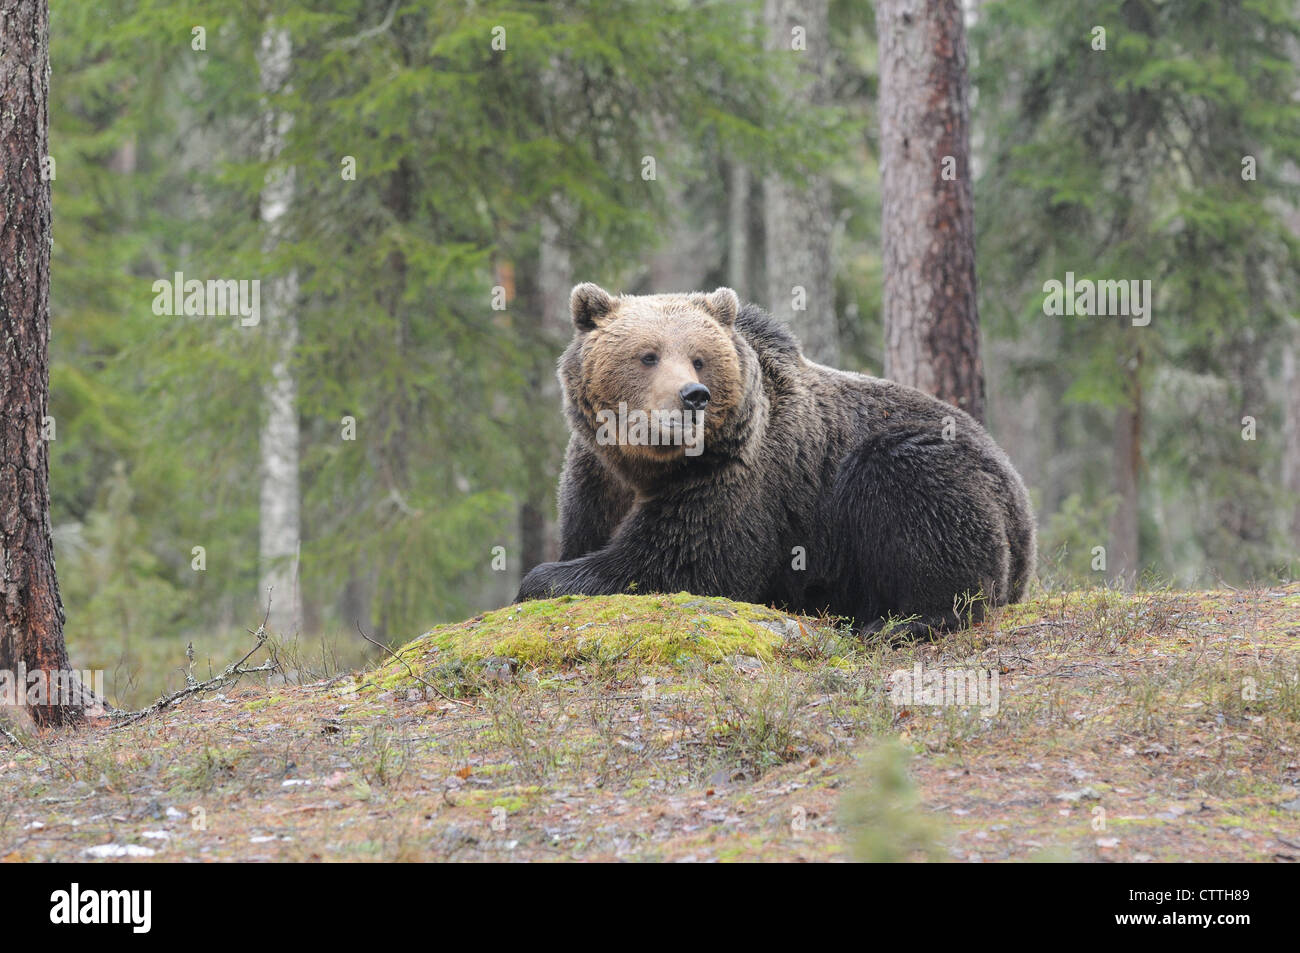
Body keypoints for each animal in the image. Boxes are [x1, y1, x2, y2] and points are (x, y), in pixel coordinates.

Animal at [516, 283, 1036, 635]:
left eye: (699, 357)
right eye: (648, 355)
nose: (693, 396)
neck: (650, 463)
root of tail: (1018, 489)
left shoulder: (737, 476)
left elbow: (682, 561)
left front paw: (541, 580)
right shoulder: (595, 475)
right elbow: (588, 534)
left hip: (920, 464)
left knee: (919, 500)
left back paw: (903, 622)